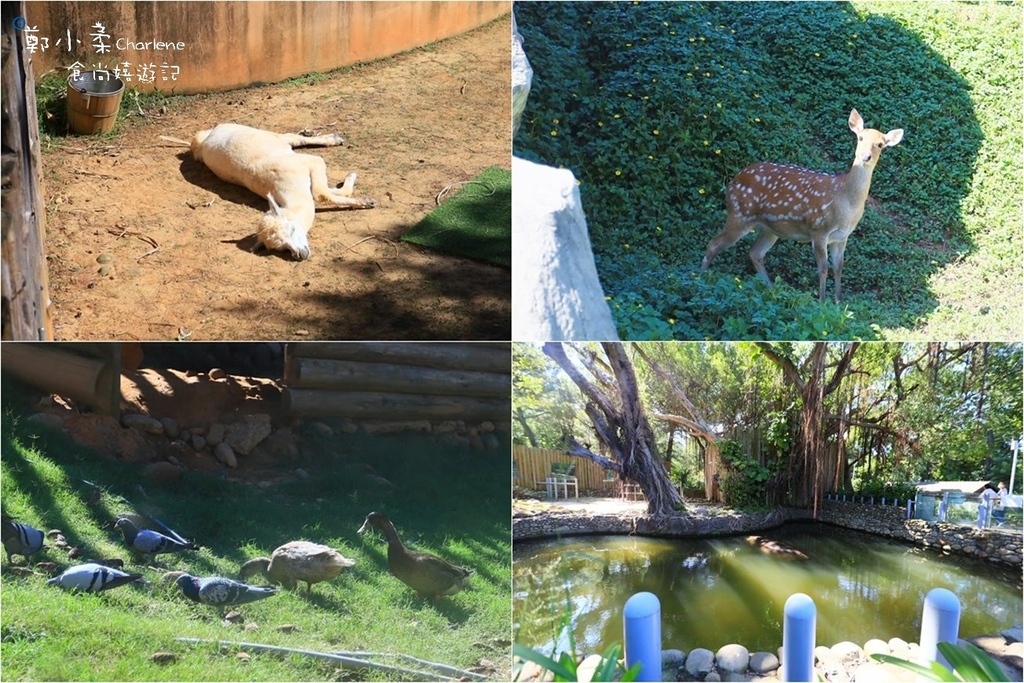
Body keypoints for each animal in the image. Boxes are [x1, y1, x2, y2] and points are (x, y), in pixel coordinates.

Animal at [696, 109, 905, 301]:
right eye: (860, 138)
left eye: (880, 144)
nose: (865, 156)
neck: (845, 202)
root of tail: (731, 182)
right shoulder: (819, 229)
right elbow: (823, 268)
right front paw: (822, 302)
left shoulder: (841, 237)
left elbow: (838, 267)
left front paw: (839, 302)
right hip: (740, 213)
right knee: (714, 243)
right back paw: (700, 277)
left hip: (771, 228)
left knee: (755, 252)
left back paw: (771, 288)